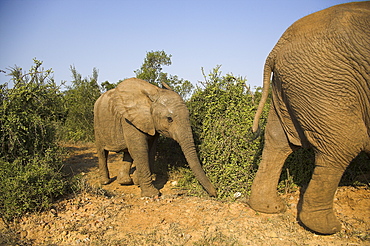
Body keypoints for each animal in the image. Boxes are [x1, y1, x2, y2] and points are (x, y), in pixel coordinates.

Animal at [249, 2, 370, 236]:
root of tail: (277, 47)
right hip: (325, 80)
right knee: (346, 142)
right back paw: (327, 227)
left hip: (292, 83)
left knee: (278, 140)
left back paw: (269, 207)